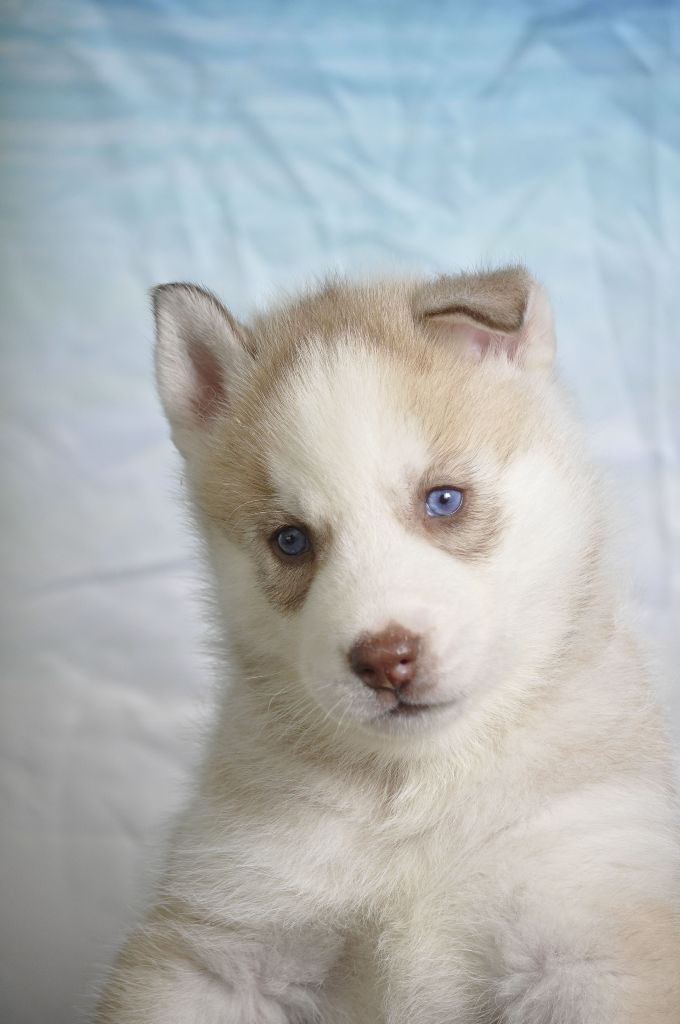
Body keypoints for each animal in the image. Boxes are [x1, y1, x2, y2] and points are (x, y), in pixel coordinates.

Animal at [96, 268, 680, 1019]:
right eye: (291, 540)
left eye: (443, 500)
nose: (384, 659)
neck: (420, 794)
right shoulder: (225, 937)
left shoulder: (591, 930)